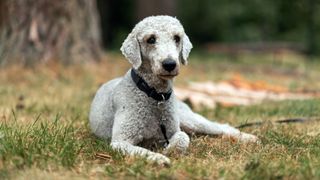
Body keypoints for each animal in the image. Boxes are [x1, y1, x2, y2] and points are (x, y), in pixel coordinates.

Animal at [89, 15, 258, 165]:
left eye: (177, 38)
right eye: (151, 39)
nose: (169, 64)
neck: (155, 95)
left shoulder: (172, 130)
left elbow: (182, 138)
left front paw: (168, 150)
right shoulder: (120, 141)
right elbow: (142, 150)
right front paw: (159, 157)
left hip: (189, 119)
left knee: (221, 127)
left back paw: (247, 138)